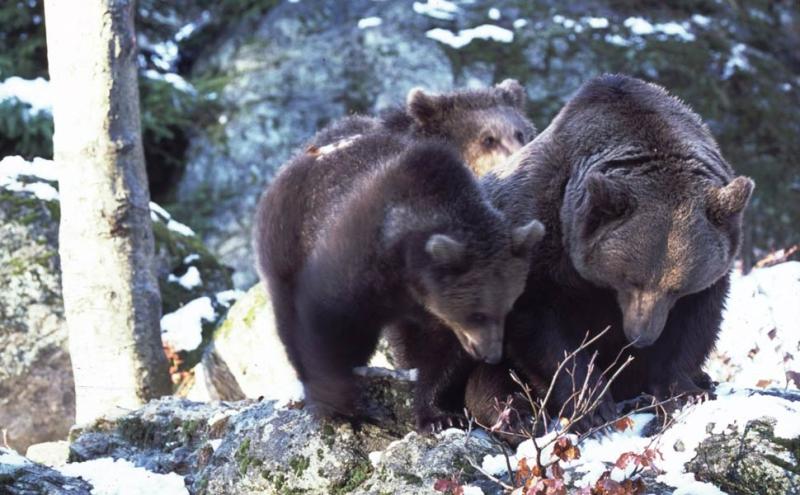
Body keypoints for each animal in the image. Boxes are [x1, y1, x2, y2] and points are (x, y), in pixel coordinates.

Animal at [254, 124, 545, 428]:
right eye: (478, 313)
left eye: (508, 307)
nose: (491, 354)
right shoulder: (355, 262)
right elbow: (329, 325)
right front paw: (338, 406)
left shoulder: (434, 311)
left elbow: (438, 357)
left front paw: (437, 414)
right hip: (286, 244)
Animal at [466, 74, 754, 435]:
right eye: (630, 280)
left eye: (676, 288)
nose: (641, 336)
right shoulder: (538, 232)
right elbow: (538, 325)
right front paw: (593, 406)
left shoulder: (712, 273)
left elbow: (695, 323)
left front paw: (684, 390)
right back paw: (516, 414)